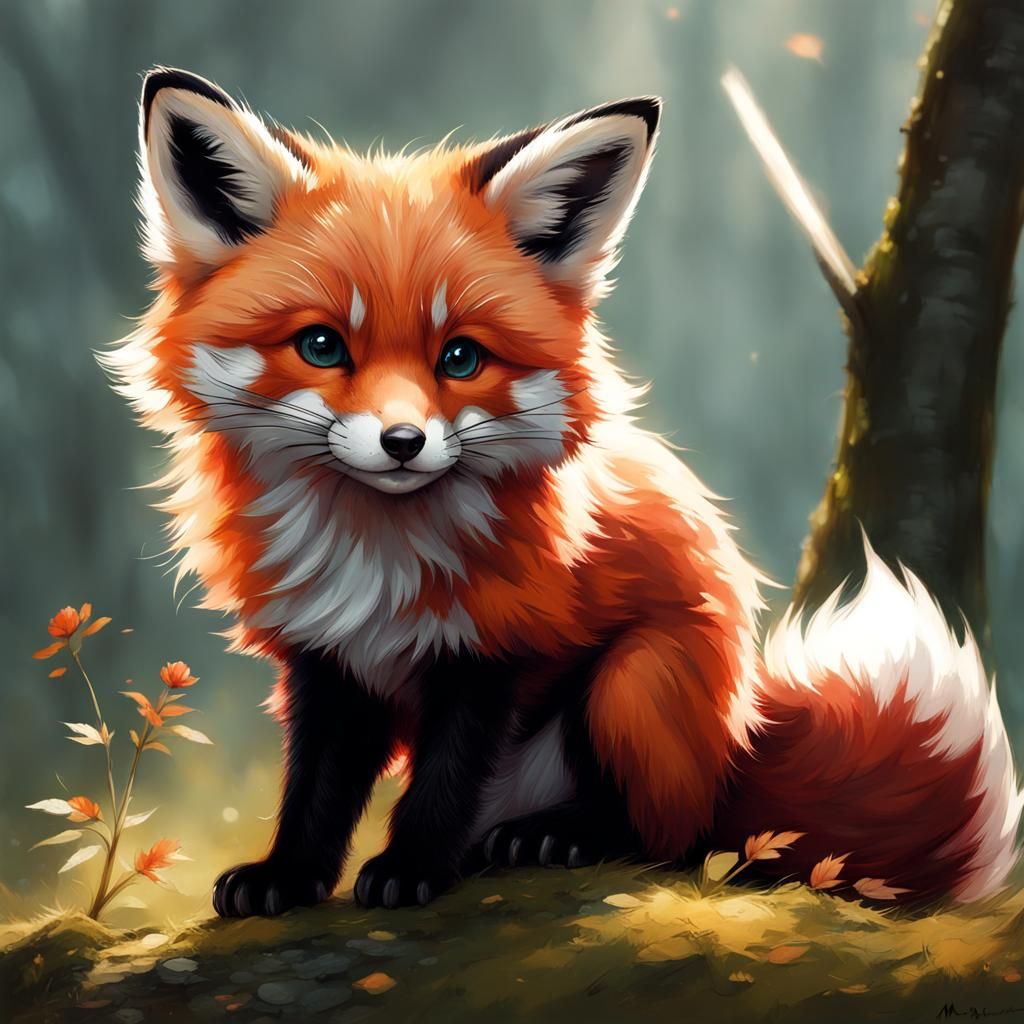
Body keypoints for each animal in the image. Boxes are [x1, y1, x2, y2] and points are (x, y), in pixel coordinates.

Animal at [104, 67, 1022, 917]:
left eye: (461, 358)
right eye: (322, 346)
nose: (403, 443)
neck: (379, 559)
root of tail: (741, 737)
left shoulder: (496, 646)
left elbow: (444, 781)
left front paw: (412, 869)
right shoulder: (325, 659)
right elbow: (317, 791)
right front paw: (287, 877)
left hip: (635, 685)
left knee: (676, 838)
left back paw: (561, 836)